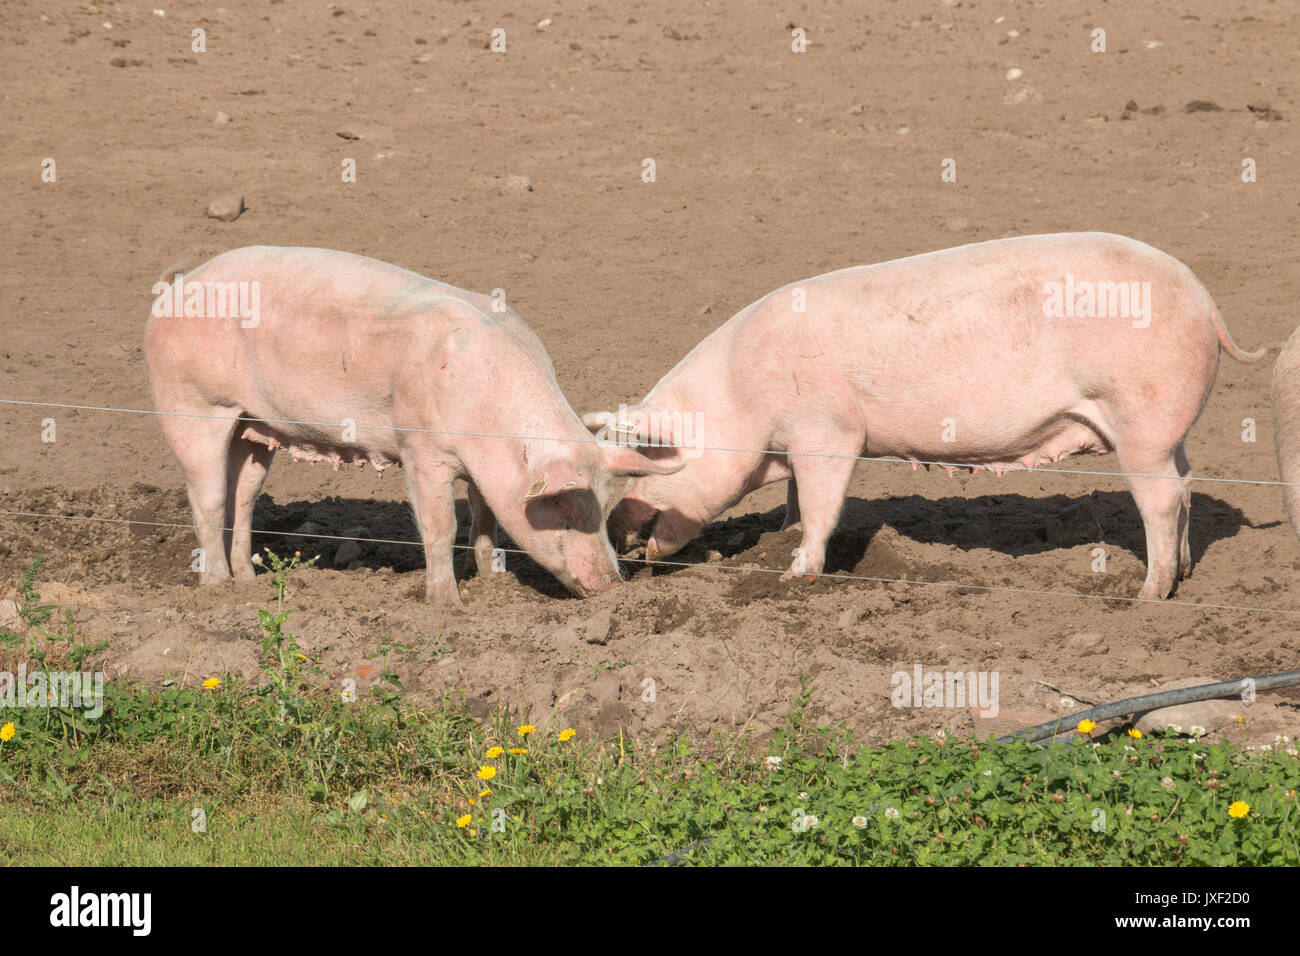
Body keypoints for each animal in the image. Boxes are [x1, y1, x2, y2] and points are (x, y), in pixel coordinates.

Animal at [141, 247, 676, 606]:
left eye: (603, 507)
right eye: (563, 510)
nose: (610, 586)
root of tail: (179, 285)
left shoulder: (482, 469)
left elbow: (485, 517)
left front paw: (493, 582)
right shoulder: (422, 451)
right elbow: (440, 526)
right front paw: (447, 604)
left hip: (252, 426)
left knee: (244, 495)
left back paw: (247, 585)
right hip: (191, 404)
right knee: (207, 497)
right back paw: (217, 589)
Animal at [587, 234, 1258, 598]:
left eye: (642, 466)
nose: (615, 533)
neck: (740, 397)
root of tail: (1203, 298)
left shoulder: (828, 430)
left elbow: (823, 505)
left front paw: (792, 578)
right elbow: (798, 501)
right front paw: (778, 538)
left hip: (1141, 417)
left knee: (1161, 497)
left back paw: (1147, 594)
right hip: (1170, 430)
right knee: (1188, 481)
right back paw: (1184, 573)